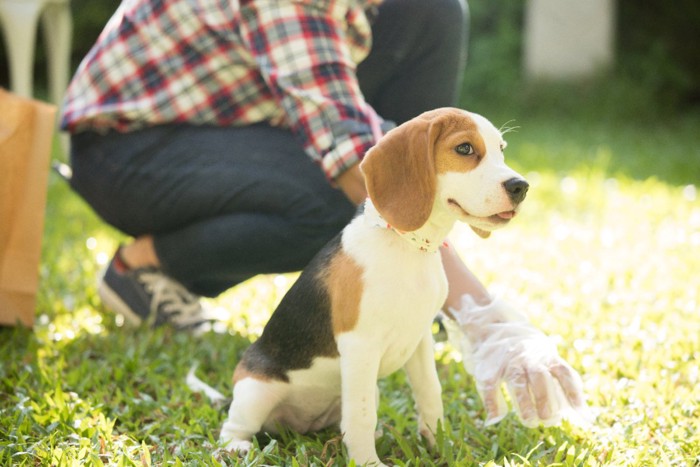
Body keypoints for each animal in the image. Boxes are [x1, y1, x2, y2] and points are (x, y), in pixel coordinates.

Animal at [216, 108, 528, 466]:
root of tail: (300, 424)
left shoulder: (420, 340)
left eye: (501, 150)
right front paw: (368, 462)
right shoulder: (360, 345)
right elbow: (361, 416)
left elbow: (429, 392)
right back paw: (236, 446)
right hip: (257, 390)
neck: (409, 246)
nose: (521, 187)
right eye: (464, 148)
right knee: (235, 426)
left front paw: (439, 444)